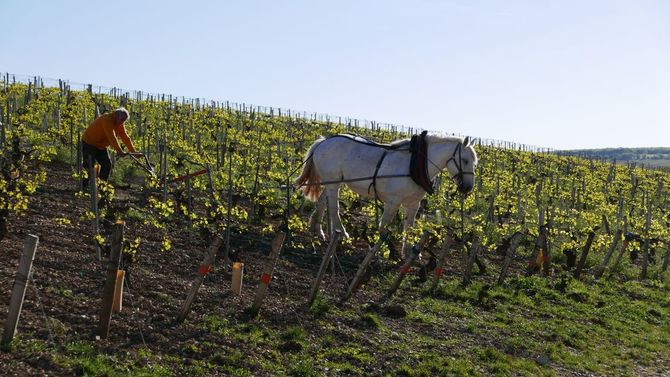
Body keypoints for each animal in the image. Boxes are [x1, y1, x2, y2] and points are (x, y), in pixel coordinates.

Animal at [296, 132, 478, 256]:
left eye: (474, 162)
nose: (468, 187)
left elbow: (409, 226)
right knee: (334, 208)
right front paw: (385, 250)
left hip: (331, 182)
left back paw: (317, 231)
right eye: (465, 161)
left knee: (322, 201)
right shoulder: (393, 201)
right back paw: (341, 233)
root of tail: (324, 141)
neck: (415, 166)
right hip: (334, 183)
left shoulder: (413, 203)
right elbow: (383, 226)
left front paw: (409, 252)